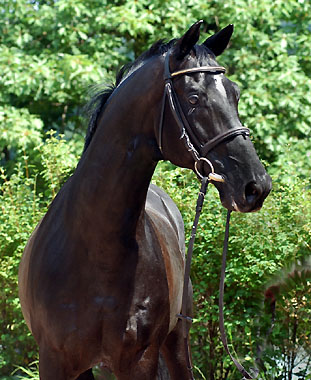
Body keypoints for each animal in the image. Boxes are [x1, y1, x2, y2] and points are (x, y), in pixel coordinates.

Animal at [19, 21, 272, 380]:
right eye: (194, 98)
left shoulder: (140, 361)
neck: (96, 250)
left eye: (234, 94)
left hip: (177, 345)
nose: (256, 186)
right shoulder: (54, 362)